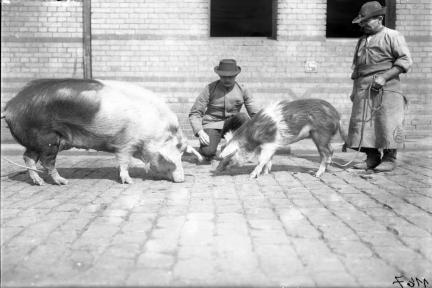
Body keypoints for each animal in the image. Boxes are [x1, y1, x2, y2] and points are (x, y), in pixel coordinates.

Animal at [2, 79, 201, 186]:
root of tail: (10, 107)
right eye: (172, 159)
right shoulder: (126, 143)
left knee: (28, 158)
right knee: (46, 162)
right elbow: (124, 162)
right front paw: (129, 181)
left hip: (36, 142)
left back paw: (40, 183)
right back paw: (63, 182)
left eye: (182, 156)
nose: (182, 180)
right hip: (48, 140)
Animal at [218, 100, 346, 179]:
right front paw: (266, 173)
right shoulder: (270, 146)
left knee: (326, 153)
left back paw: (317, 174)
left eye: (228, 157)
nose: (216, 169)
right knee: (331, 150)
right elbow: (268, 159)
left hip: (321, 134)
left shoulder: (270, 143)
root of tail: (337, 116)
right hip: (322, 137)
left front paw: (252, 176)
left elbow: (262, 160)